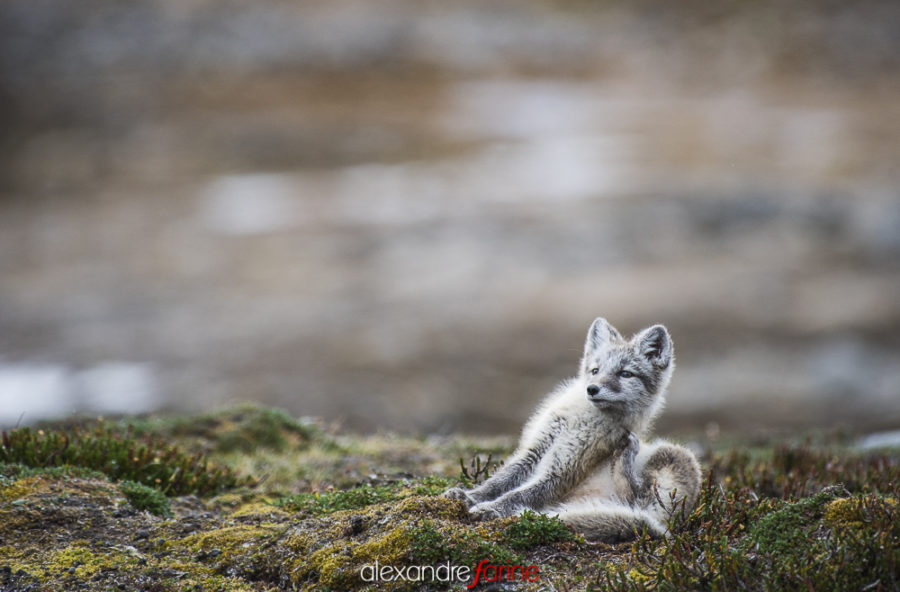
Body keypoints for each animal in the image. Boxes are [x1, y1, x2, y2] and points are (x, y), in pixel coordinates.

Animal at [442, 320, 704, 540]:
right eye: (595, 370)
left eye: (625, 374)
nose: (592, 389)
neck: (579, 420)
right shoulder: (535, 451)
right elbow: (498, 482)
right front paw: (468, 496)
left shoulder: (564, 469)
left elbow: (519, 494)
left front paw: (491, 509)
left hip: (675, 455)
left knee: (636, 498)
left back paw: (626, 453)